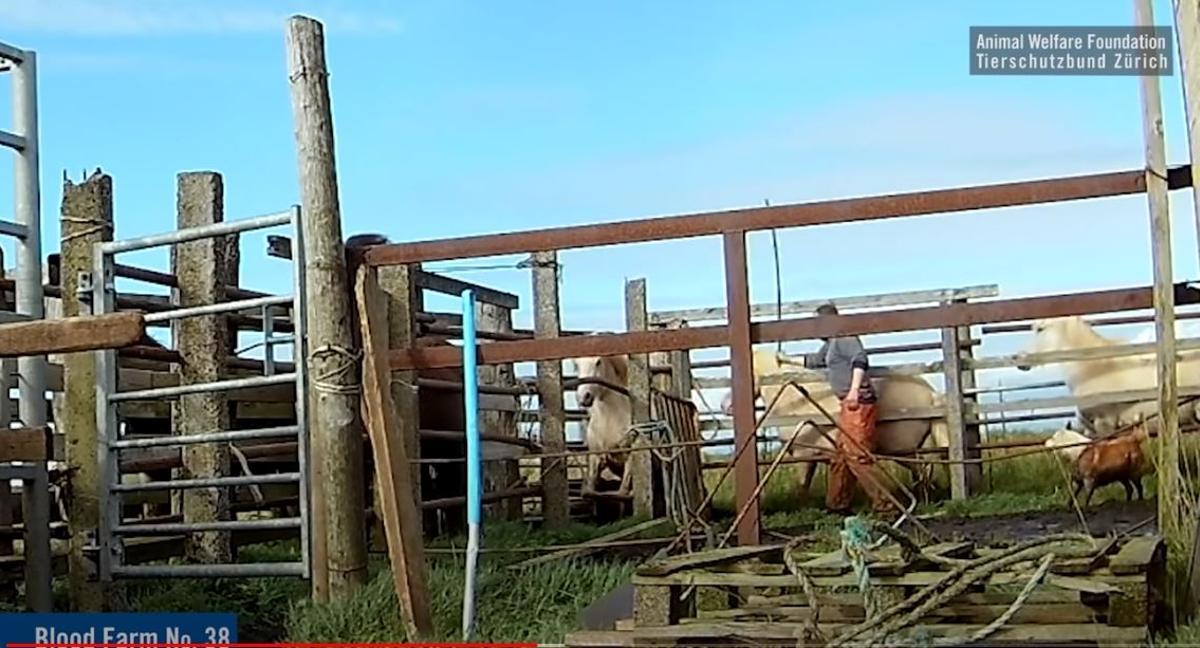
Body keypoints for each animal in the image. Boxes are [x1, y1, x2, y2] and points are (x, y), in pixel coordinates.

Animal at [715, 352, 950, 499]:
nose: (725, 405)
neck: (796, 400)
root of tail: (930, 394)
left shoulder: (803, 455)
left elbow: (802, 485)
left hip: (904, 449)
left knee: (925, 469)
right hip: (918, 447)